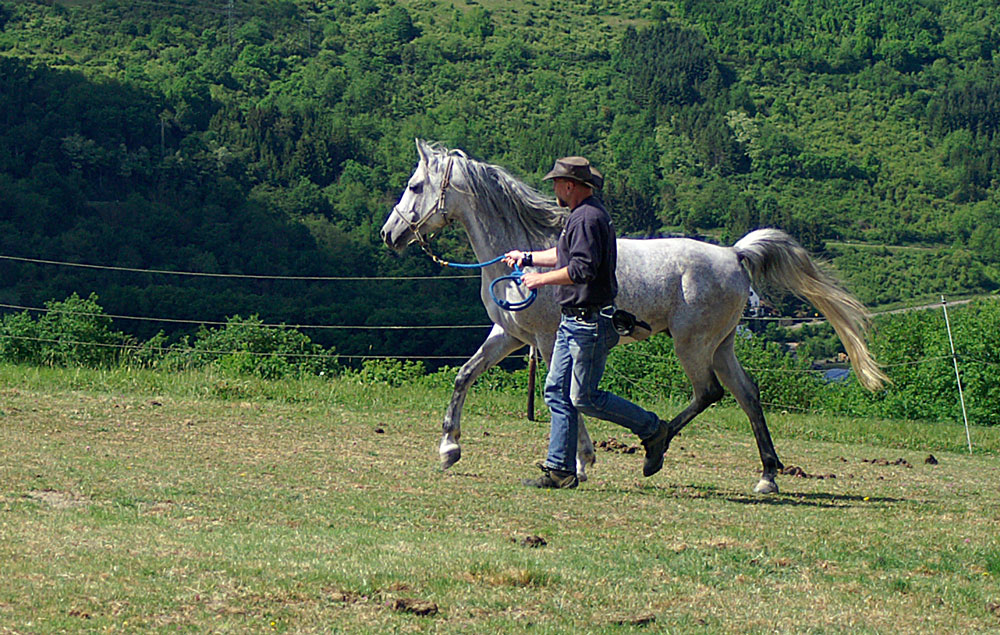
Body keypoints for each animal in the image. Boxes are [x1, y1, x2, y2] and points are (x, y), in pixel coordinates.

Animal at [378, 142, 888, 494]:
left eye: (415, 186)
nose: (389, 235)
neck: (522, 258)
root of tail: (735, 254)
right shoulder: (509, 333)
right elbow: (465, 376)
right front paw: (449, 449)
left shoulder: (545, 338)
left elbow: (561, 396)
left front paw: (578, 463)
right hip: (721, 345)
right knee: (747, 393)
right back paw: (767, 477)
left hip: (692, 344)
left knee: (710, 393)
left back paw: (655, 451)